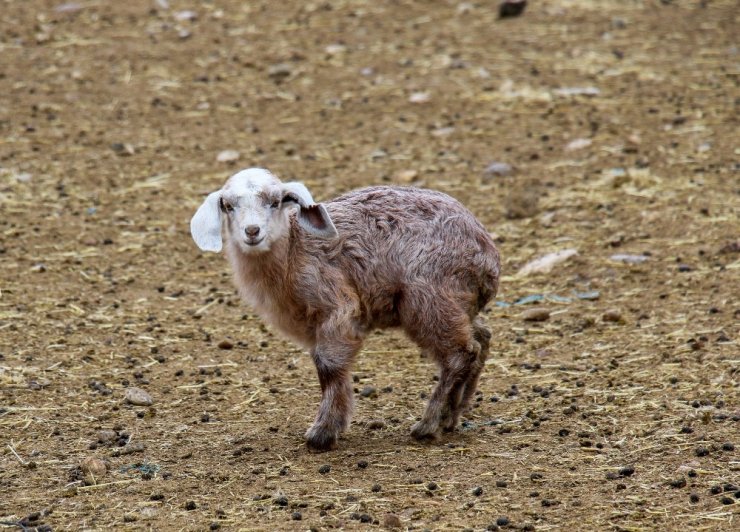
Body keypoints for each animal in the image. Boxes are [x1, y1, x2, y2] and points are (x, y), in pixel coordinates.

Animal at [192, 166, 502, 448]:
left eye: (276, 202)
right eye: (228, 206)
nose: (252, 231)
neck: (294, 250)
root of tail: (488, 257)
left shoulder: (336, 307)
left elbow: (328, 366)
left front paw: (322, 432)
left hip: (430, 296)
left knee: (460, 353)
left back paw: (429, 424)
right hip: (457, 302)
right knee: (481, 338)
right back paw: (453, 414)